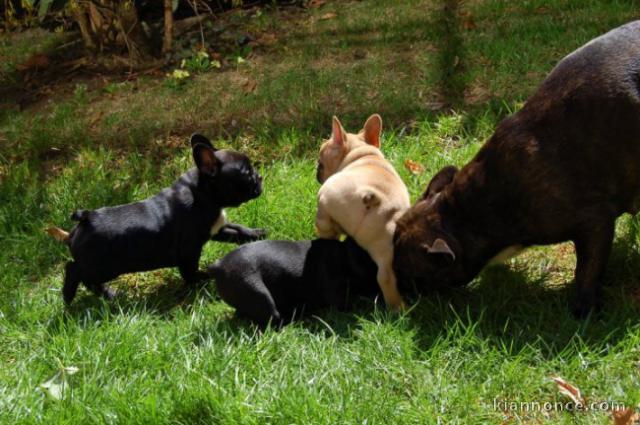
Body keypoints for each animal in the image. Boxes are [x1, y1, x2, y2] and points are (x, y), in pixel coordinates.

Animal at [48, 134, 264, 304]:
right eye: (246, 173)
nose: (259, 177)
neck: (202, 193)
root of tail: (86, 219)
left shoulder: (217, 228)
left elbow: (238, 230)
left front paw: (258, 233)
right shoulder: (189, 249)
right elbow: (190, 269)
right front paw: (200, 278)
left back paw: (106, 295)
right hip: (103, 266)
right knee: (76, 271)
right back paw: (75, 294)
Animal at [392, 21, 640, 316]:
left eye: (409, 274)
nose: (393, 284)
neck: (466, 213)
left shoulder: (595, 221)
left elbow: (587, 270)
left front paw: (584, 309)